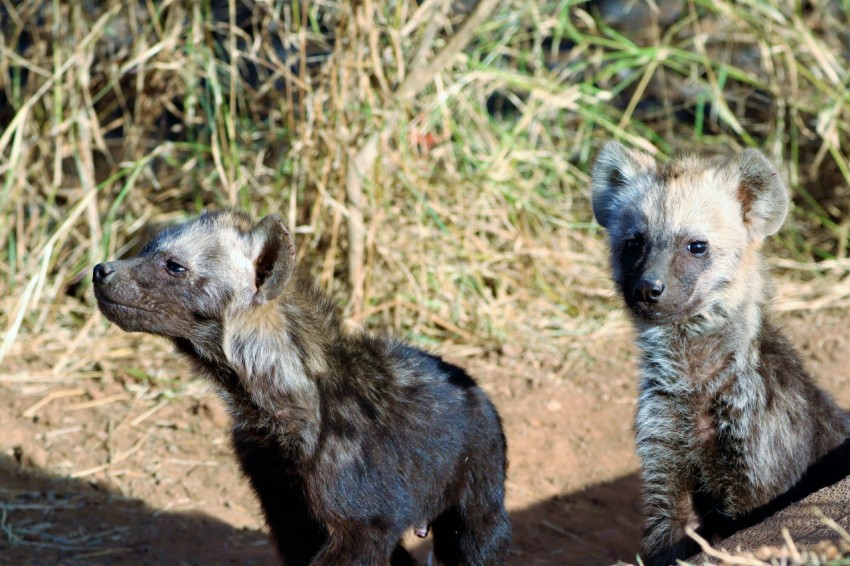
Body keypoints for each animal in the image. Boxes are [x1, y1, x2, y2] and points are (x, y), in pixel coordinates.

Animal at [92, 210, 511, 565]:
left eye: (175, 266)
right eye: (145, 250)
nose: (100, 269)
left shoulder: (364, 521)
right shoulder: (283, 502)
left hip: (479, 484)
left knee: (477, 539)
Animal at [591, 143, 850, 564]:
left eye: (696, 246)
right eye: (633, 244)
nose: (648, 288)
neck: (693, 379)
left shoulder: (761, 473)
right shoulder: (663, 460)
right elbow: (669, 534)